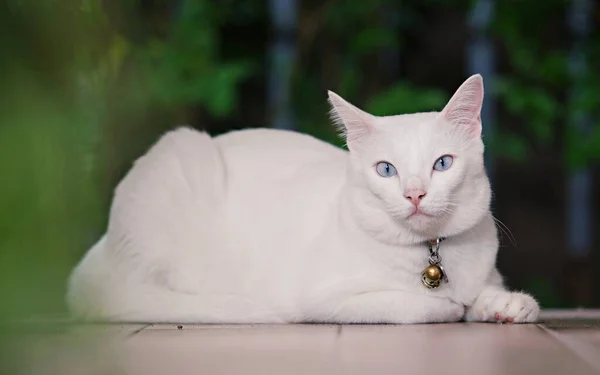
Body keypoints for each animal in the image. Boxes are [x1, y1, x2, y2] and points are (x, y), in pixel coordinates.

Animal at [65, 75, 540, 324]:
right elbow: (415, 305)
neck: (431, 255)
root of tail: (99, 251)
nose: (415, 192)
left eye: (442, 163)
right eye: (386, 170)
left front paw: (505, 305)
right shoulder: (326, 299)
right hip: (182, 158)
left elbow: (488, 292)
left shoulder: (484, 272)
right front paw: (450, 307)